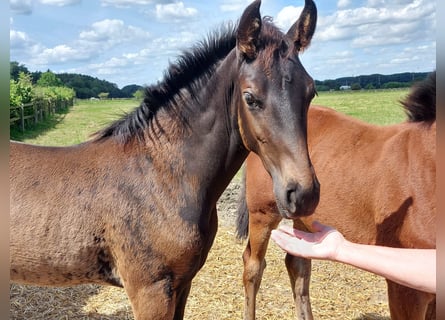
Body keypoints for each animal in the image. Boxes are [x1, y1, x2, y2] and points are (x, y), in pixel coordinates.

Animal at [9, 1, 320, 318]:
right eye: (250, 97)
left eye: (311, 91)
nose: (303, 194)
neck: (160, 177)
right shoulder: (150, 291)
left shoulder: (182, 284)